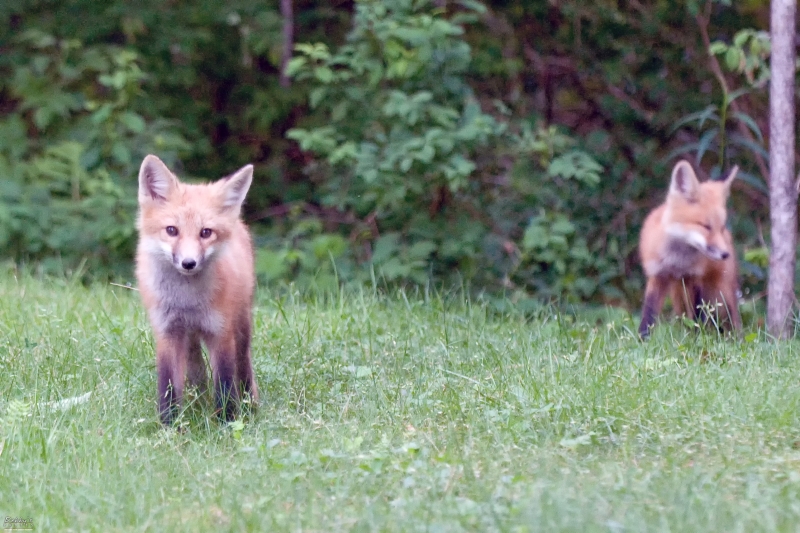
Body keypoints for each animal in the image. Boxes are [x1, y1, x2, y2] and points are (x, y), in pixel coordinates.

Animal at [136, 154, 258, 425]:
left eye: (206, 233)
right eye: (172, 230)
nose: (188, 263)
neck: (187, 301)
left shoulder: (220, 332)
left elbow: (225, 383)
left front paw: (227, 422)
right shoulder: (167, 332)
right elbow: (168, 386)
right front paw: (170, 426)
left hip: (241, 324)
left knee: (243, 366)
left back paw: (250, 404)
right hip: (189, 338)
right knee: (196, 370)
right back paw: (197, 400)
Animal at [638, 160, 741, 338]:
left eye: (721, 227)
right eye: (706, 226)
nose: (725, 254)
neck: (677, 261)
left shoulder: (696, 278)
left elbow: (698, 316)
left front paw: (698, 338)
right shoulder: (657, 275)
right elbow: (648, 313)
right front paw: (642, 339)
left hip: (722, 291)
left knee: (729, 318)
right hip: (679, 295)